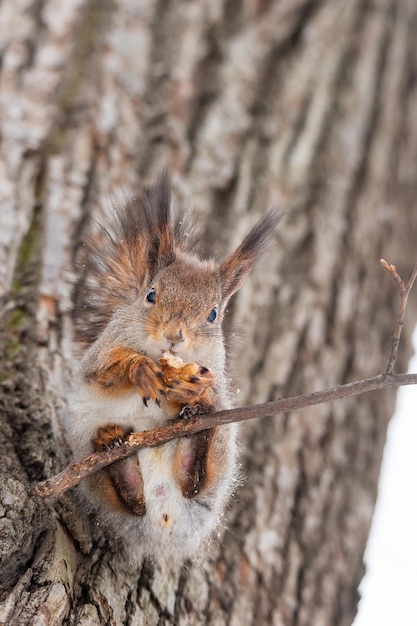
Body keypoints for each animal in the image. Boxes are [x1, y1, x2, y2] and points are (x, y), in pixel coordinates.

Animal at [66, 171, 282, 560]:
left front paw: (196, 389)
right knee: (131, 500)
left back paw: (197, 427)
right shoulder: (100, 353)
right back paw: (112, 448)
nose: (173, 336)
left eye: (213, 314)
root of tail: (164, 522)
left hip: (220, 454)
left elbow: (209, 384)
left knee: (196, 480)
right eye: (151, 295)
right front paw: (140, 370)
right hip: (86, 453)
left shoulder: (215, 369)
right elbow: (106, 369)